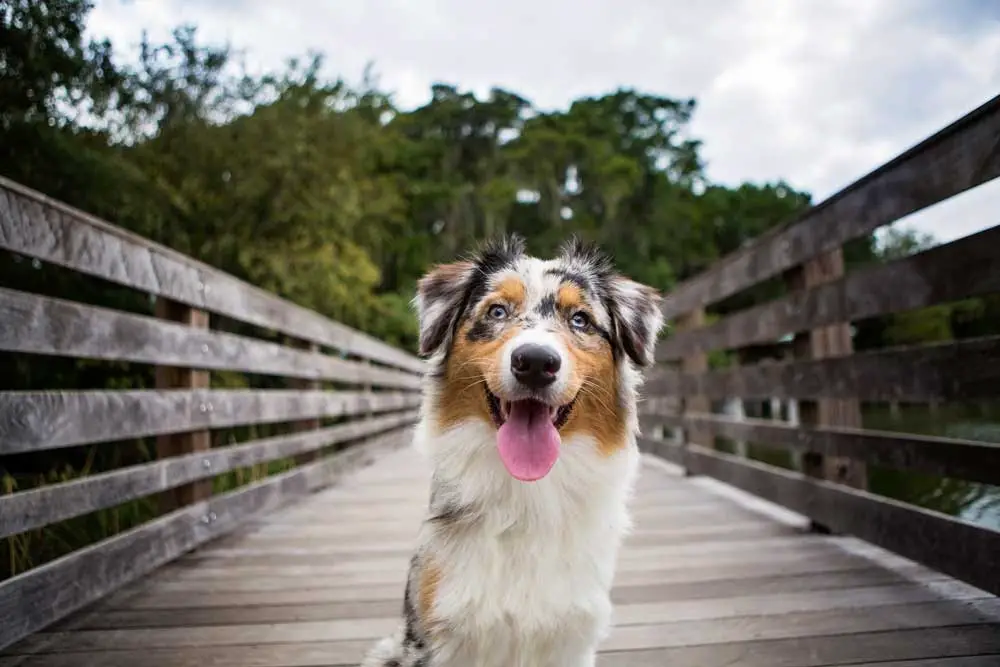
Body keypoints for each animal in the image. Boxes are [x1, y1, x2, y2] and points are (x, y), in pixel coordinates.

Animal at [362, 235, 664, 667]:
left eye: (580, 320)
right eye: (497, 311)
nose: (535, 362)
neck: (527, 490)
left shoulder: (572, 637)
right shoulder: (431, 636)